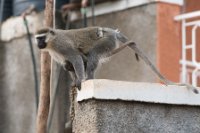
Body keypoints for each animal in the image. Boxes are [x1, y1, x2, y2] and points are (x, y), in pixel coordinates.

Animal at [34, 26, 198, 93]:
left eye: (41, 38)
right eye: (37, 38)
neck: (51, 42)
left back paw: (89, 79)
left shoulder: (61, 45)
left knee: (92, 56)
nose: (38, 44)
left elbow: (75, 58)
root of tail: (111, 31)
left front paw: (80, 80)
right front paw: (75, 81)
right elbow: (69, 64)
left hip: (106, 41)